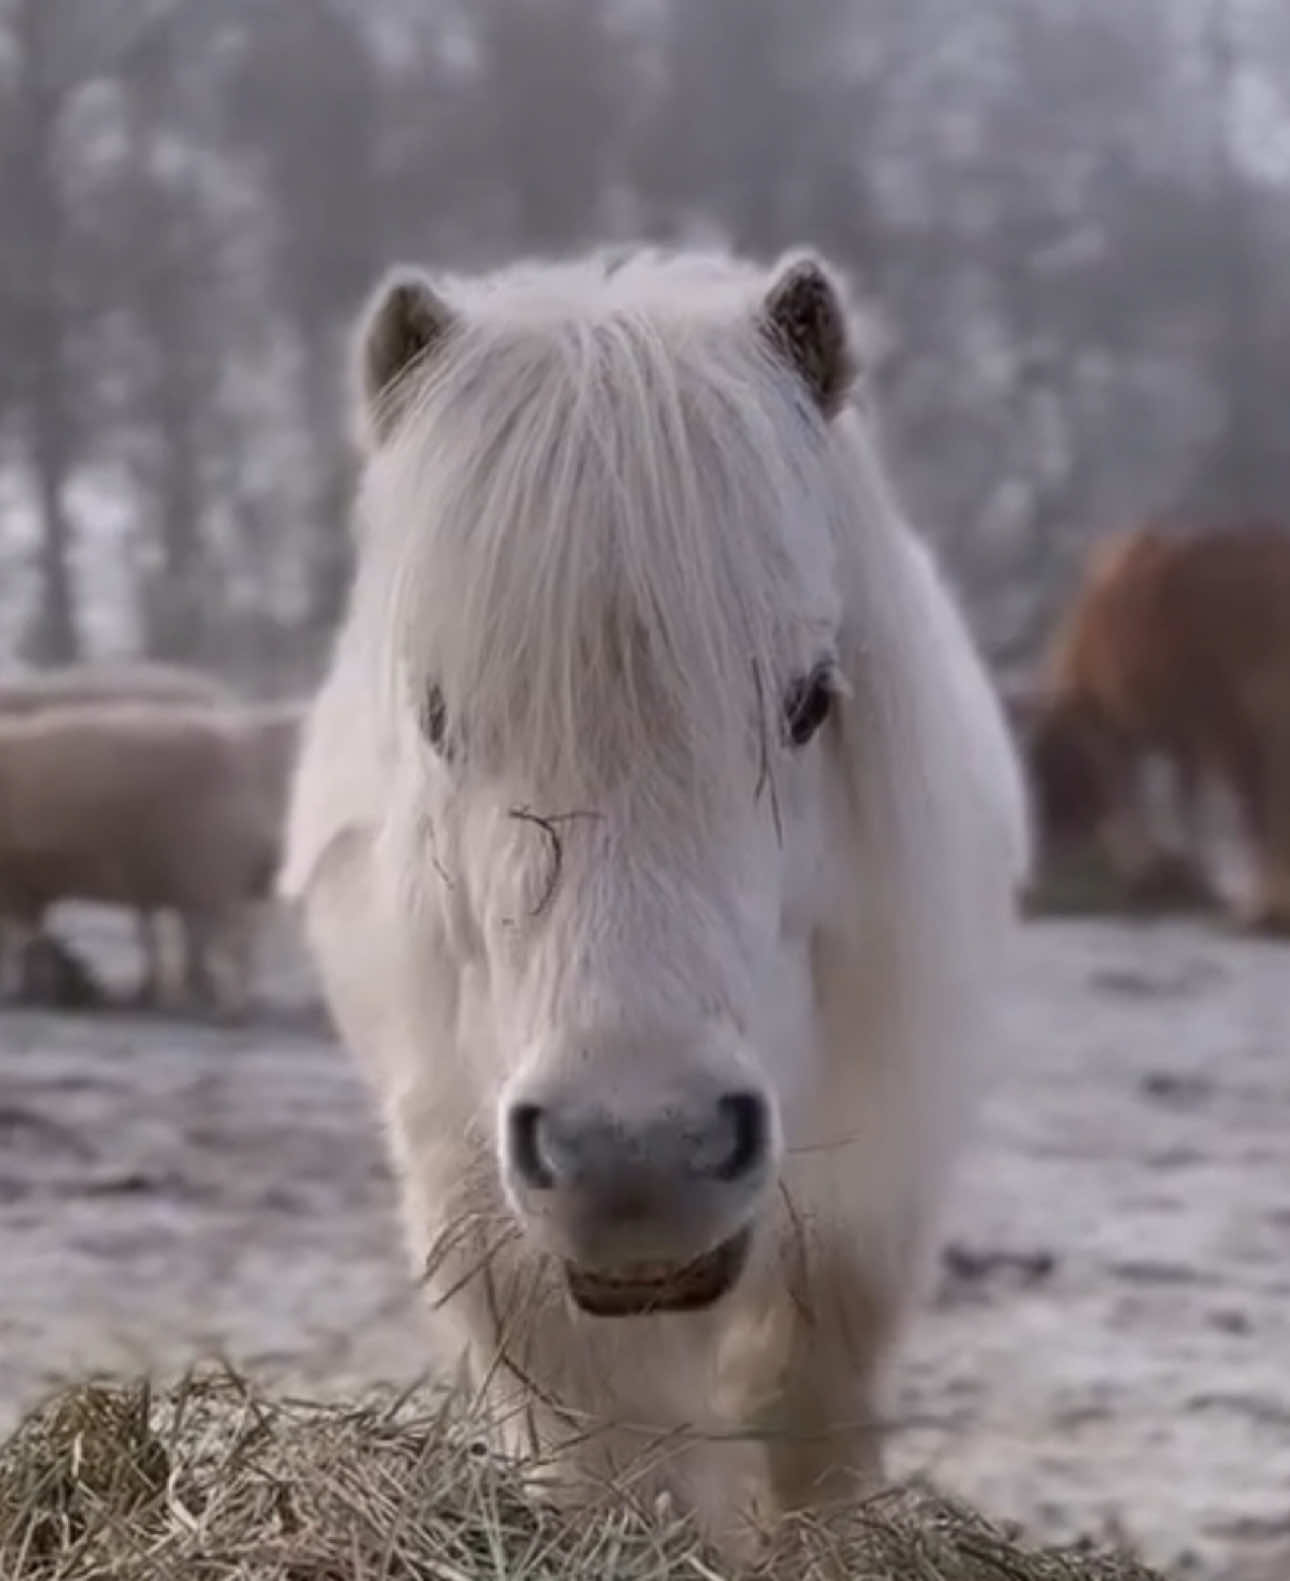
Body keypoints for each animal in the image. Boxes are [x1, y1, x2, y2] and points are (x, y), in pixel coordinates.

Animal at [281, 245, 1029, 1552]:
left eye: (810, 698)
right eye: (436, 715)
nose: (639, 1153)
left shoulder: (867, 1196)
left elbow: (810, 1425)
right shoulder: (495, 1226)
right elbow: (627, 1465)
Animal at [1026, 521, 1290, 932]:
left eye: (1046, 780)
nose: (1047, 861)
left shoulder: (1119, 730)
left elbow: (1132, 797)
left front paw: (1148, 872)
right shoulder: (1180, 739)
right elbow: (1182, 803)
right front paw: (1184, 874)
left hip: (1244, 718)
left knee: (1259, 804)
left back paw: (1264, 909)